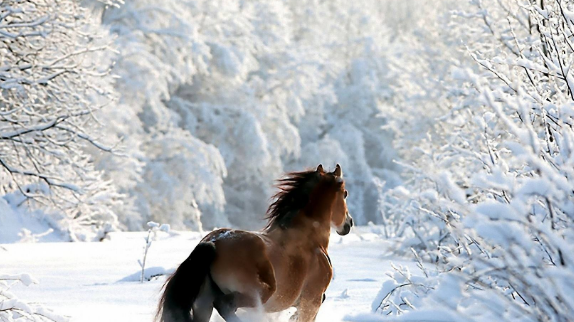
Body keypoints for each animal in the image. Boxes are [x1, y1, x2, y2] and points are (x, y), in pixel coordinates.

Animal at [158, 165, 356, 320]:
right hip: (258, 293)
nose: (349, 223)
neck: (311, 241)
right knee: (224, 305)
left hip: (202, 303)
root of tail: (212, 243)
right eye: (345, 194)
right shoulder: (311, 301)